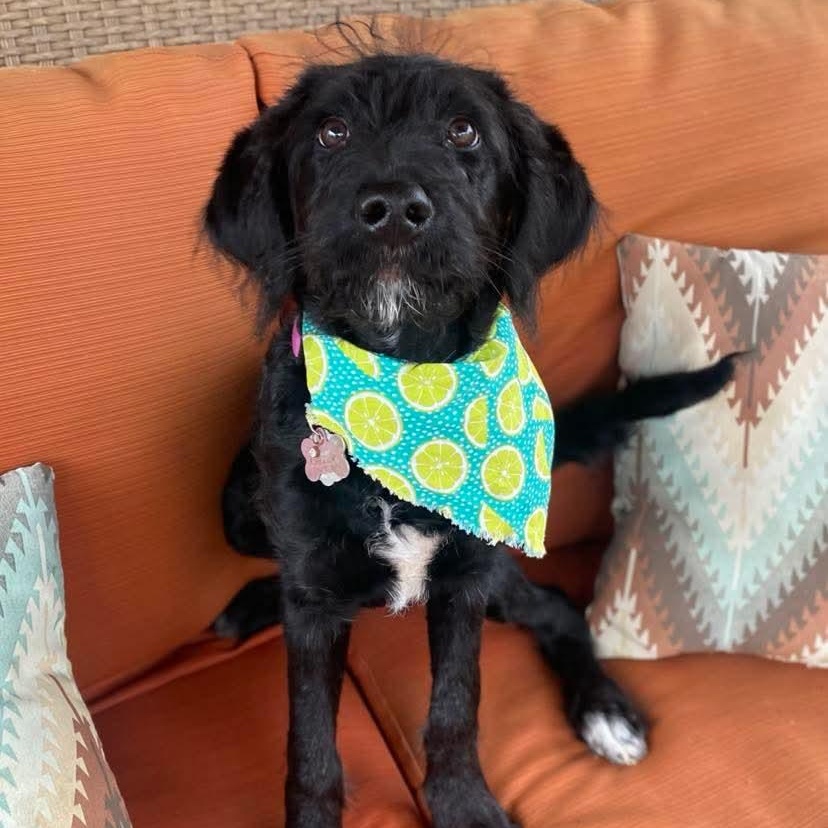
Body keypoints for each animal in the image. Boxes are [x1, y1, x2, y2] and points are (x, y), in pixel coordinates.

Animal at [204, 52, 734, 828]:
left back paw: (604, 710)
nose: (394, 207)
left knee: (558, 607)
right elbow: (311, 744)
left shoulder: (466, 578)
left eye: (464, 131)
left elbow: (456, 708)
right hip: (239, 507)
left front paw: (464, 806)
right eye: (331, 132)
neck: (405, 387)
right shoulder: (315, 599)